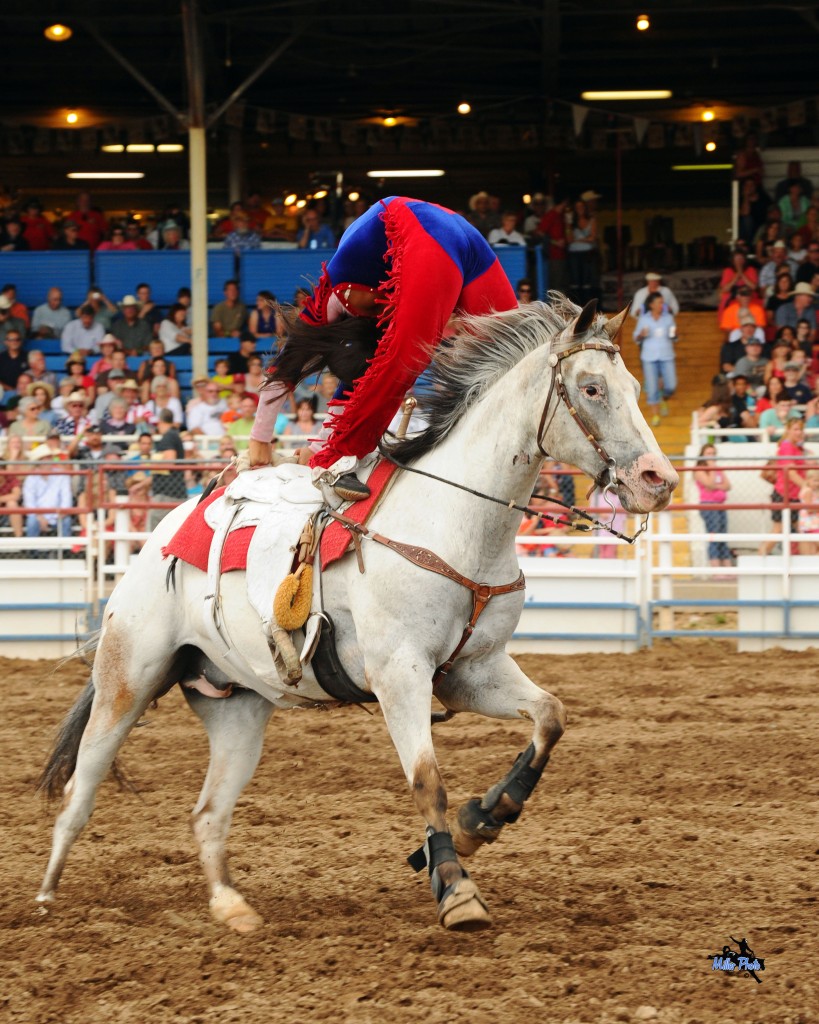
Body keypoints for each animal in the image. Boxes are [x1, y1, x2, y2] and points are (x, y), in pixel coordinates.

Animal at [36, 292, 679, 933]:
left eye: (635, 388)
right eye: (592, 388)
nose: (659, 479)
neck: (452, 521)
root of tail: (161, 537)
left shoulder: (473, 672)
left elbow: (550, 718)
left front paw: (482, 821)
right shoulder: (400, 674)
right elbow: (427, 780)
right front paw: (455, 888)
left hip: (237, 709)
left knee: (208, 813)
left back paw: (232, 908)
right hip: (126, 681)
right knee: (80, 792)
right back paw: (46, 901)